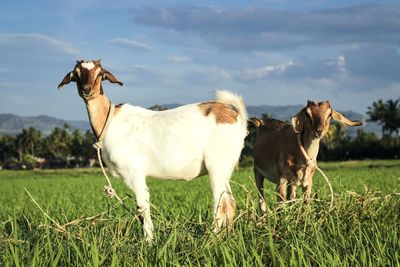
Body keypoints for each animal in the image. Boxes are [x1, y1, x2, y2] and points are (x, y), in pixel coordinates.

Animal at [58, 60, 248, 241]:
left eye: (99, 74)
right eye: (76, 74)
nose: (87, 90)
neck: (110, 120)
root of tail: (235, 115)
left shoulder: (134, 171)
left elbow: (142, 207)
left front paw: (148, 242)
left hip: (216, 164)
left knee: (221, 203)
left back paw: (211, 238)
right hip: (225, 168)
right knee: (231, 203)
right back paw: (228, 237)